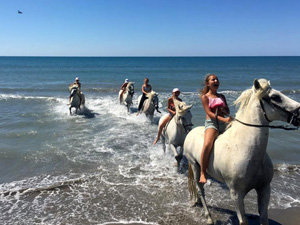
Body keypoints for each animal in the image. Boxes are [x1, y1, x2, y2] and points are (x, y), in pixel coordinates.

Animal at [184, 78, 300, 224]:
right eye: (275, 97)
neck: (245, 149)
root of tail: (190, 132)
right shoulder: (236, 194)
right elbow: (243, 220)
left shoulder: (264, 189)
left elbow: (264, 218)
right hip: (195, 165)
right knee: (200, 189)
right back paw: (209, 217)